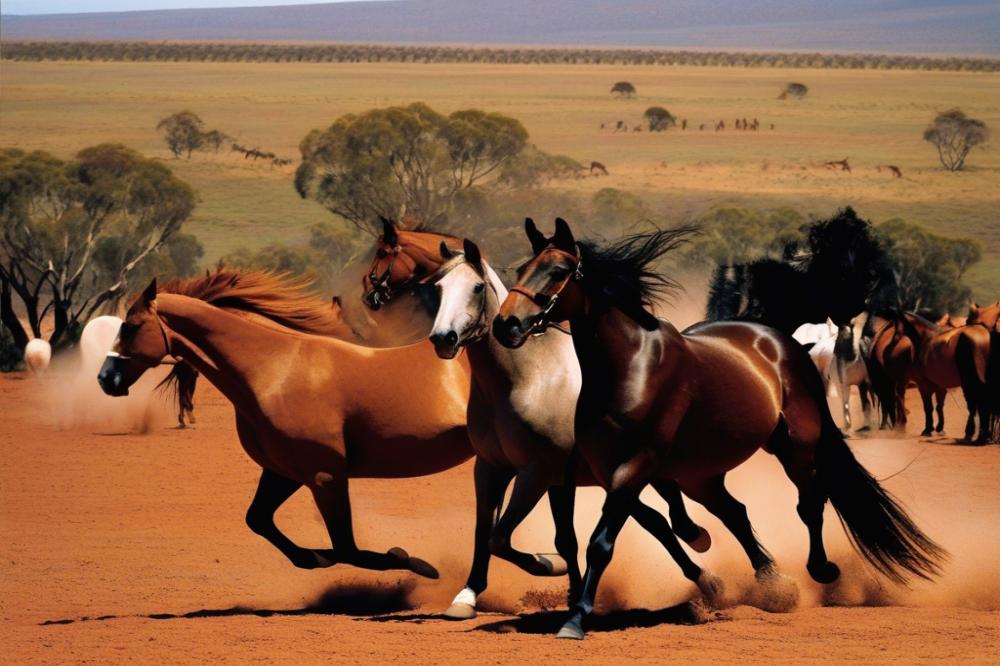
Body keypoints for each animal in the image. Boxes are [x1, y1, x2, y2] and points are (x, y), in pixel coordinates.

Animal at [97, 270, 474, 578]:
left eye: (130, 326)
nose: (104, 379)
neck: (275, 369)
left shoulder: (325, 476)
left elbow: (349, 550)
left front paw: (413, 562)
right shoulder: (283, 472)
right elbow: (259, 519)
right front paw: (312, 558)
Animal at [363, 224, 715, 619]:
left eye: (477, 287)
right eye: (438, 288)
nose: (444, 339)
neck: (525, 379)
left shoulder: (538, 473)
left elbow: (505, 537)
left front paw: (548, 565)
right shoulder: (493, 468)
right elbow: (492, 532)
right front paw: (467, 595)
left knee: (671, 511)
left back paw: (706, 561)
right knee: (658, 520)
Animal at [493, 218, 944, 640]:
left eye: (557, 271)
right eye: (522, 268)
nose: (506, 325)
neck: (628, 368)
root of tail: (778, 339)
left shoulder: (635, 466)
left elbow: (602, 542)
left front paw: (576, 619)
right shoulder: (612, 471)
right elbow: (655, 523)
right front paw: (702, 557)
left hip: (795, 447)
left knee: (809, 503)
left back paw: (820, 570)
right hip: (702, 475)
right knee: (735, 513)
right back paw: (771, 582)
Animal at [898, 312, 997, 443]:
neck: (925, 338)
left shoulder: (923, 385)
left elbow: (928, 407)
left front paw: (927, 430)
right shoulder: (940, 386)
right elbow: (939, 406)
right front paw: (939, 428)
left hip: (970, 383)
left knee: (975, 405)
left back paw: (972, 434)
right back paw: (983, 436)